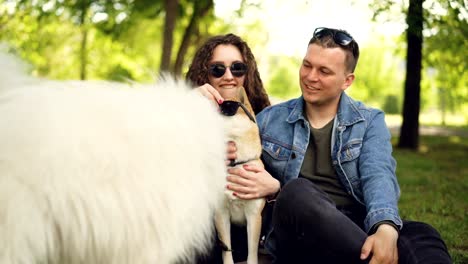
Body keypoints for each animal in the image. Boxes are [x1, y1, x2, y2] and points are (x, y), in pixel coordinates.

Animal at [214, 86, 266, 264]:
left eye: (224, 110)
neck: (235, 164)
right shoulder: (221, 214)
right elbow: (227, 251)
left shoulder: (254, 216)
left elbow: (252, 253)